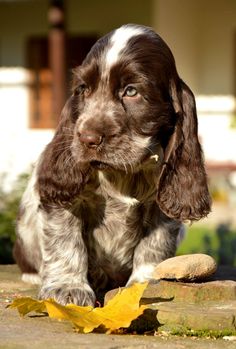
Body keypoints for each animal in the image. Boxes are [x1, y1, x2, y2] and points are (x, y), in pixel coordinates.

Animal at [13, 23, 211, 304]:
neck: (123, 174)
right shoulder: (64, 199)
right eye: (83, 89)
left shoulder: (161, 209)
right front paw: (67, 288)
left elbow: (154, 246)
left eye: (131, 91)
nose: (87, 138)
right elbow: (66, 241)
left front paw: (145, 285)